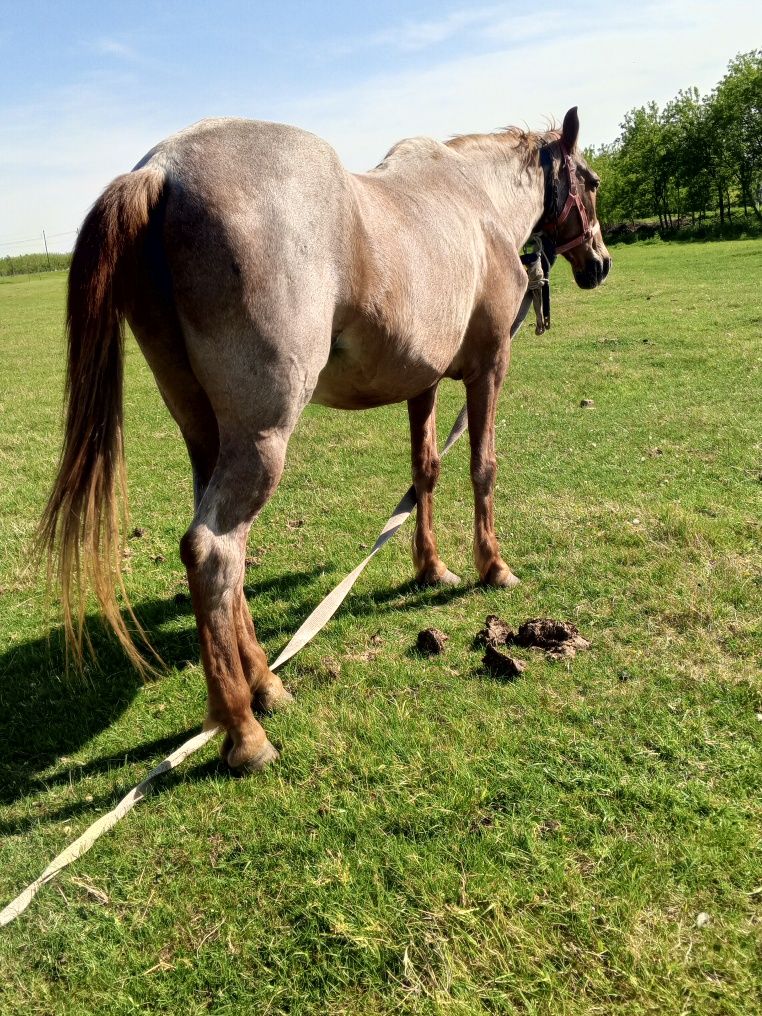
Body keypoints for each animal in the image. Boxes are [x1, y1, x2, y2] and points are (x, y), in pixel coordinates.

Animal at [41, 105, 613, 768]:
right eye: (591, 182)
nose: (600, 263)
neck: (476, 198)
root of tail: (162, 171)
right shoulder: (489, 367)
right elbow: (482, 466)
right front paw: (491, 567)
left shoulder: (422, 381)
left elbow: (425, 471)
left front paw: (431, 567)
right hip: (262, 437)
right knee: (214, 550)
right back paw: (245, 732)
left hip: (205, 435)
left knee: (221, 558)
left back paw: (267, 685)